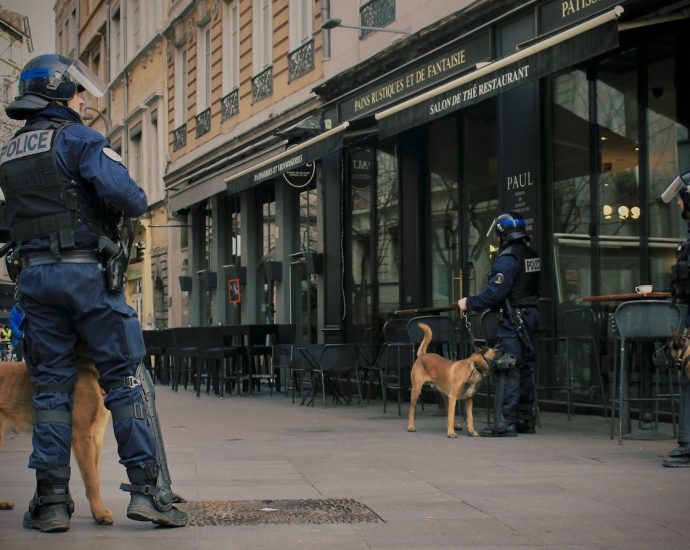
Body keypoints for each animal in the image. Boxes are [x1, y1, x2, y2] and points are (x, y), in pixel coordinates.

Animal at [0, 358, 111, 528]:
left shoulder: (97, 436)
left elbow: (96, 475)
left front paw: (98, 510)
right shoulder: (83, 436)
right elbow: (92, 479)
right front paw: (99, 513)